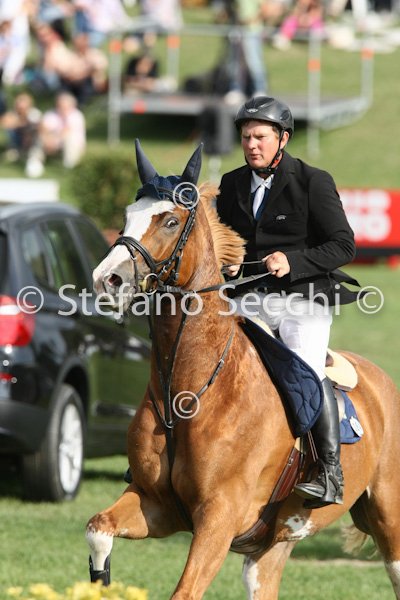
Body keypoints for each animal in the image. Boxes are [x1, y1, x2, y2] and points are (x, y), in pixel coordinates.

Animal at [87, 141, 400, 600]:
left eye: (169, 221)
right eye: (128, 215)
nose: (105, 280)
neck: (187, 391)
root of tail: (383, 381)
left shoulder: (220, 516)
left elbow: (185, 591)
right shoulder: (154, 503)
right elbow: (98, 529)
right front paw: (99, 579)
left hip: (389, 515)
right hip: (274, 543)